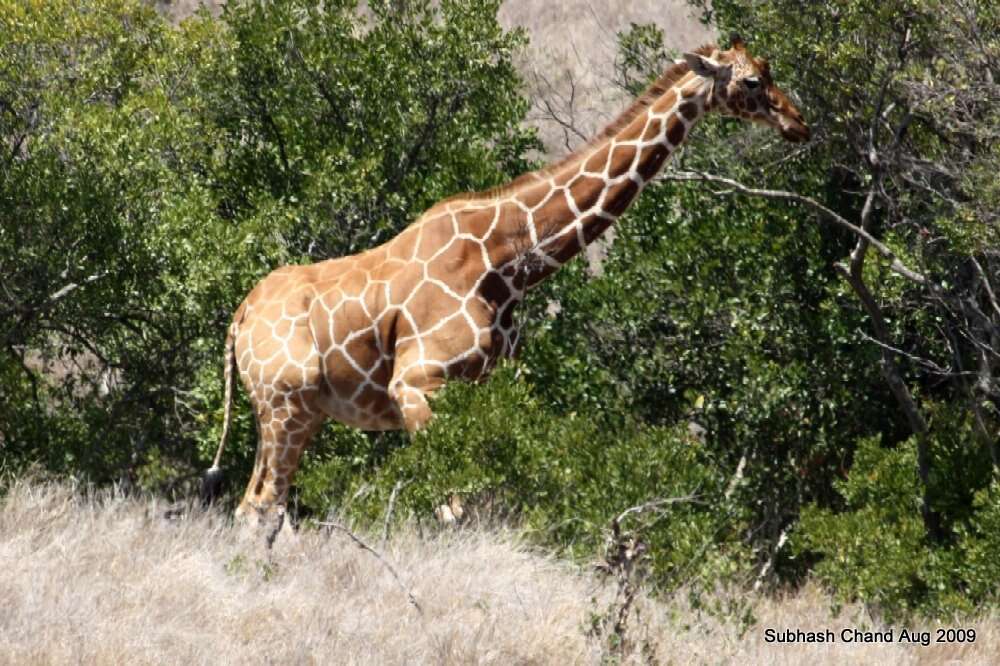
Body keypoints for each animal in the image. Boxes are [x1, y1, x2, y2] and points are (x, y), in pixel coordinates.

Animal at [203, 36, 804, 520]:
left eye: (769, 69)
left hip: (289, 412)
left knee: (252, 505)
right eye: (753, 80)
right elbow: (452, 509)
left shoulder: (486, 387)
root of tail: (239, 316)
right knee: (262, 507)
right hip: (287, 406)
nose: (798, 121)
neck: (507, 262)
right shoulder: (416, 385)